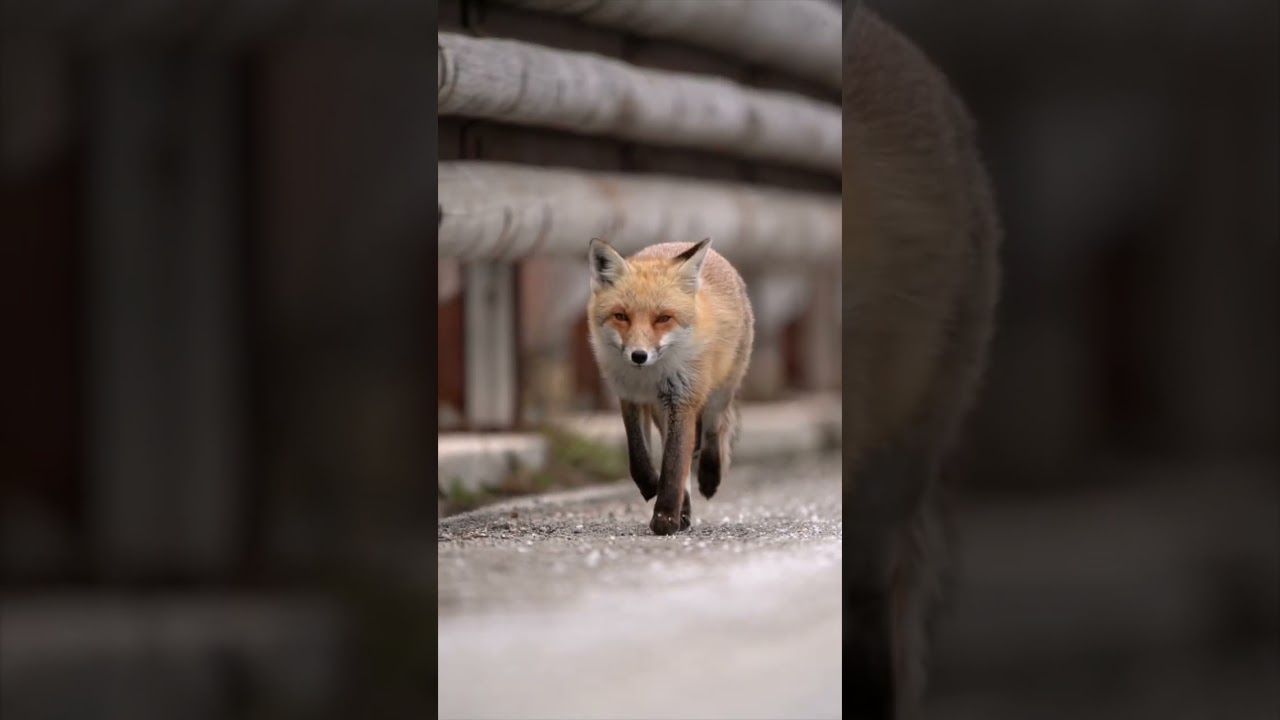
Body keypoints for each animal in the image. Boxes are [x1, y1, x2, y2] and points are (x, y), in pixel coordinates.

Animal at [586, 237, 754, 536]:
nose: (638, 355)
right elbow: (639, 457)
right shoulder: (629, 397)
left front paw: (664, 517)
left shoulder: (682, 399)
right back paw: (684, 509)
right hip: (660, 411)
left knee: (713, 431)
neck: (648, 378)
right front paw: (653, 488)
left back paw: (709, 477)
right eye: (621, 316)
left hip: (718, 393)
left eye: (663, 318)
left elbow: (674, 464)